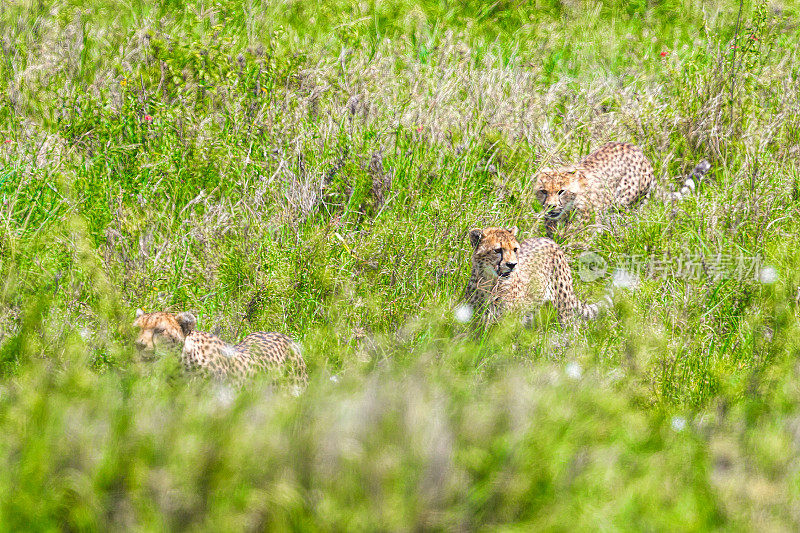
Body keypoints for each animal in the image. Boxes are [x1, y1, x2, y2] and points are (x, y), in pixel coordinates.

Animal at [462, 225, 608, 324]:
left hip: (564, 307)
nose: (512, 264)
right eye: (497, 250)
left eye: (515, 249)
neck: (490, 282)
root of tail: (550, 240)